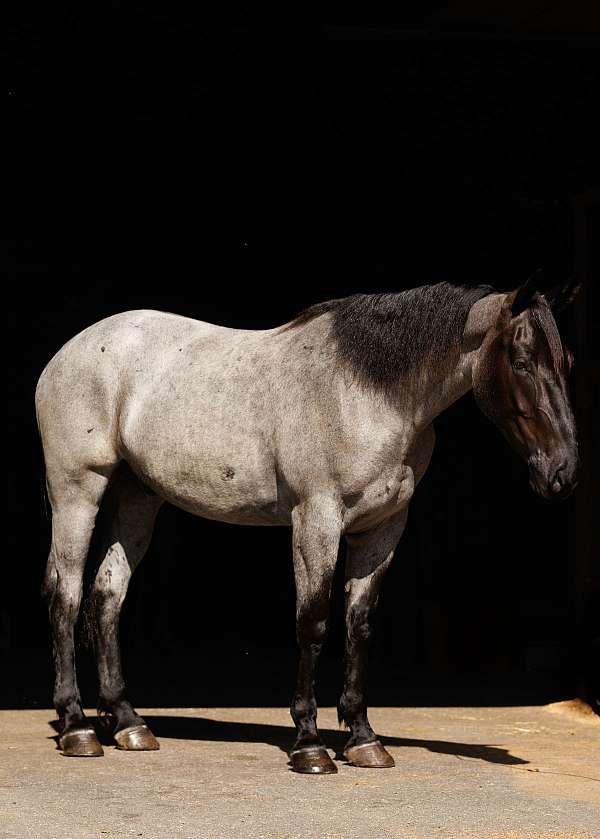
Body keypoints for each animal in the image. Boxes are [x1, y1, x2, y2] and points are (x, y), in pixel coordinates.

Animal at [35, 274, 579, 773]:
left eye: (567, 363)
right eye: (522, 362)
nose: (563, 473)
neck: (367, 393)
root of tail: (65, 354)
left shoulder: (383, 528)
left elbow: (358, 623)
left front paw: (363, 739)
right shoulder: (317, 518)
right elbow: (313, 622)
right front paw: (310, 744)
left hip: (138, 499)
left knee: (106, 596)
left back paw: (129, 724)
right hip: (78, 490)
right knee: (66, 596)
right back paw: (78, 727)